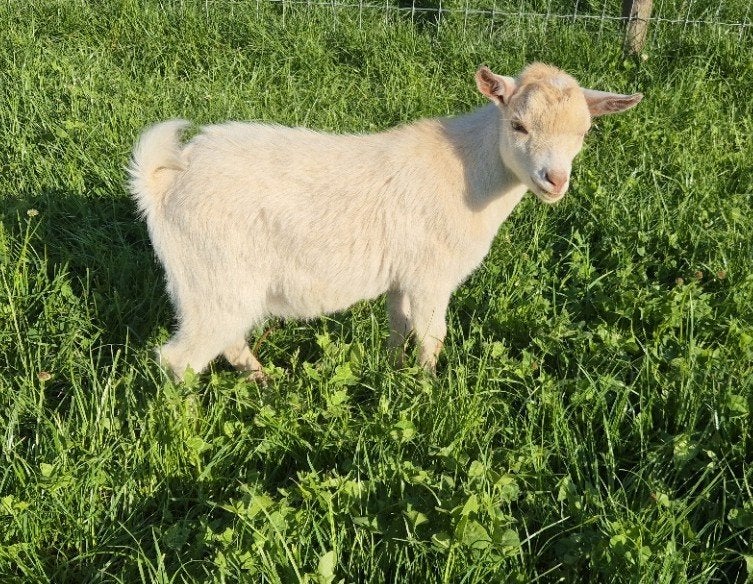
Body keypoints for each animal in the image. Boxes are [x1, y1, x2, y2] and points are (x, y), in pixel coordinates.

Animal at [128, 63, 642, 381]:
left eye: (584, 132)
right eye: (518, 125)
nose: (554, 180)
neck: (467, 171)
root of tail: (162, 182)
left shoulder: (402, 275)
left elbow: (399, 324)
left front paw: (394, 372)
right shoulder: (431, 275)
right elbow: (432, 335)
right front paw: (429, 390)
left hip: (218, 284)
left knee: (227, 339)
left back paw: (265, 381)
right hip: (213, 276)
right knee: (180, 358)